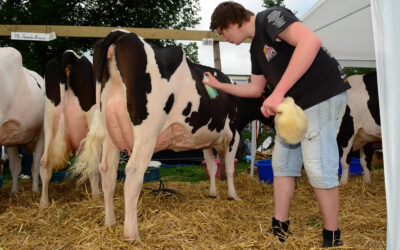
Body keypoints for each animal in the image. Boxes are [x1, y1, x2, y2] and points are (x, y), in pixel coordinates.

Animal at [0, 47, 45, 194]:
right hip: (11, 139)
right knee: (15, 166)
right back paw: (14, 191)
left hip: (42, 133)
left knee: (35, 164)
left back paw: (35, 190)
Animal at [39, 50, 101, 207]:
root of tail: (69, 54)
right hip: (91, 117)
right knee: (92, 164)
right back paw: (96, 197)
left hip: (49, 120)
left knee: (44, 162)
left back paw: (44, 203)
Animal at [72, 29, 272, 240]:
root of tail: (122, 34)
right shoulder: (234, 134)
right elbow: (229, 168)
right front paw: (233, 195)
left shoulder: (206, 140)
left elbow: (211, 166)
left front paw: (212, 193)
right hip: (147, 131)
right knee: (133, 172)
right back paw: (132, 234)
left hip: (110, 131)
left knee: (107, 171)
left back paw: (110, 223)